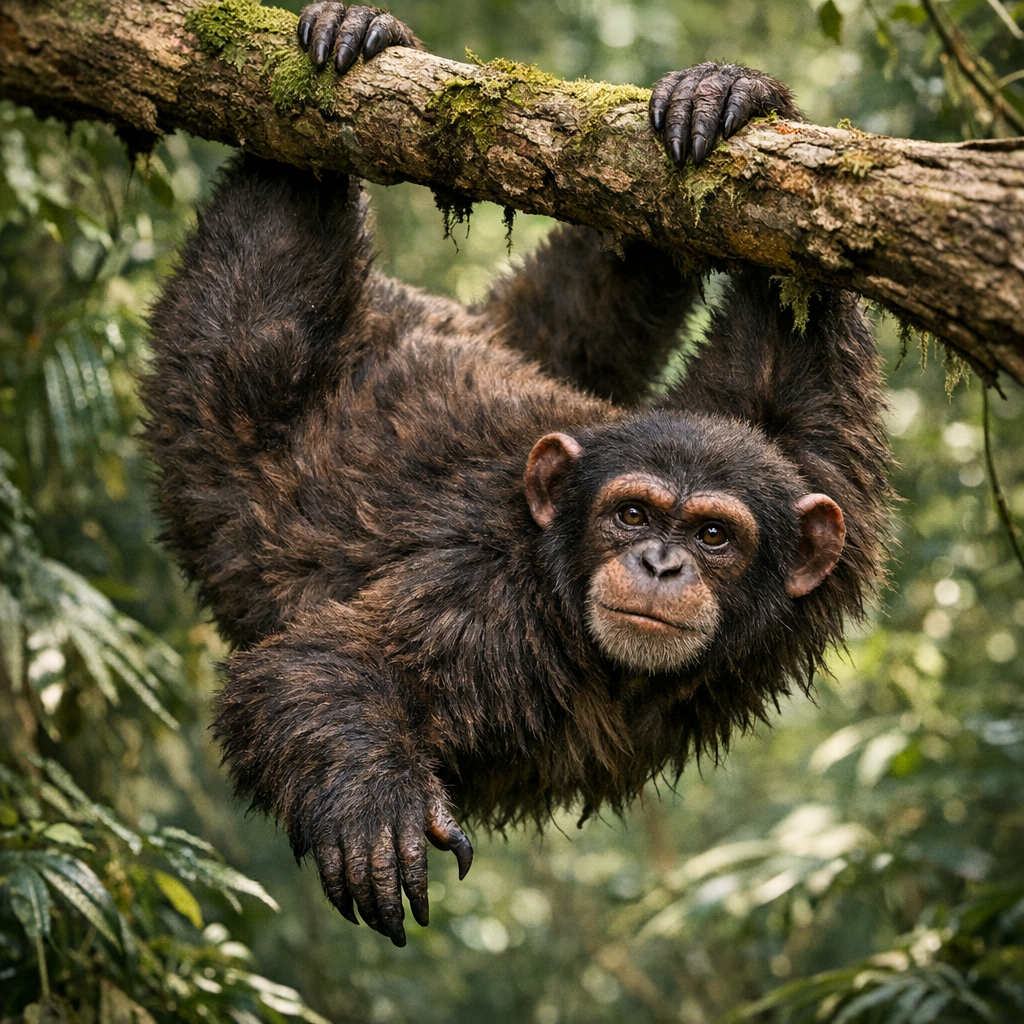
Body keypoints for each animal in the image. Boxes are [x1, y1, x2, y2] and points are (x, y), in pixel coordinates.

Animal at [142, 3, 891, 947]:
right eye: (632, 515)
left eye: (716, 534)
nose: (661, 564)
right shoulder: (482, 602)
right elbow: (317, 667)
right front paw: (370, 811)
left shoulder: (819, 481)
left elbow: (781, 366)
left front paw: (738, 99)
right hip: (222, 364)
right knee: (273, 250)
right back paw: (339, 52)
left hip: (522, 331)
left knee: (595, 290)